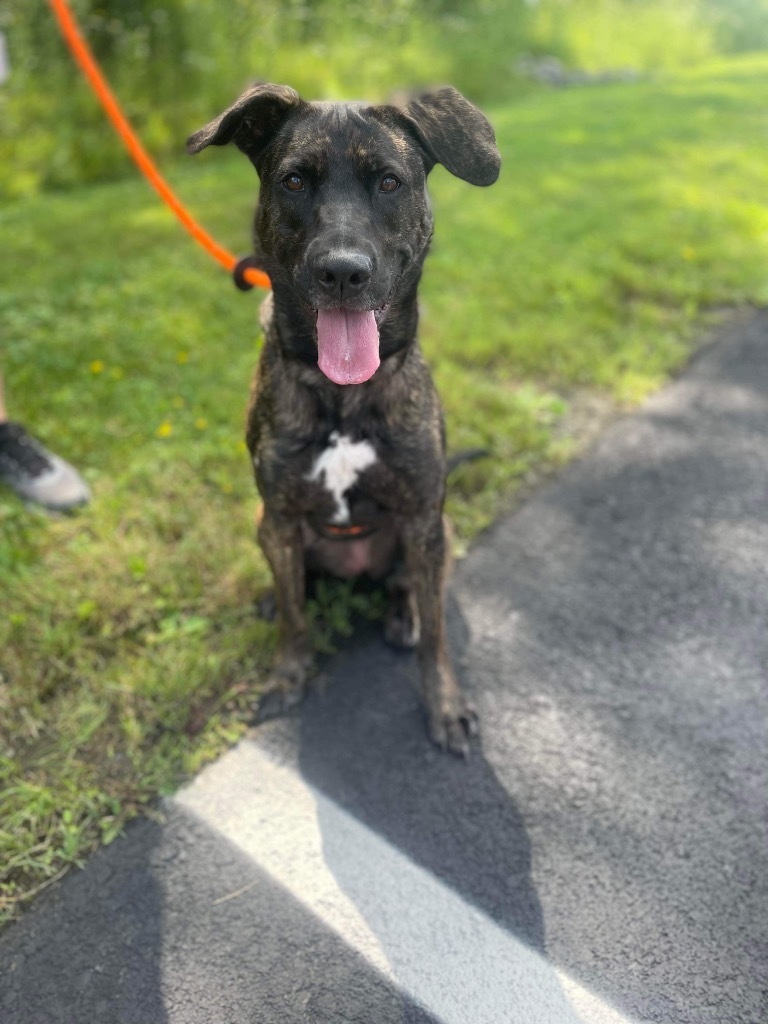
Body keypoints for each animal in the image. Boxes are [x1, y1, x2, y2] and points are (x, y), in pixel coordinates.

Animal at [189, 83, 501, 753]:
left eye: (388, 182)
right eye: (294, 181)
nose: (342, 271)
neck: (342, 396)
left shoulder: (423, 516)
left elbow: (438, 634)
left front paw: (444, 705)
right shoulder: (279, 516)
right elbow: (294, 622)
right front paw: (287, 675)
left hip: (434, 531)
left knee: (408, 589)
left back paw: (403, 616)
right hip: (263, 524)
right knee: (296, 589)